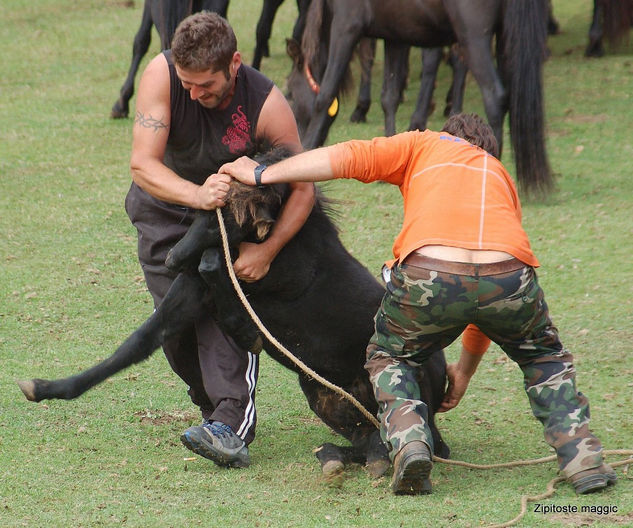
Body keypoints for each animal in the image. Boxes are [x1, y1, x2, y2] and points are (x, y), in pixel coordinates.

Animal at [16, 151, 450, 476]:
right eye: (197, 213)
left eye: (219, 223)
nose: (172, 260)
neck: (284, 247)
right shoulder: (190, 294)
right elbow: (137, 344)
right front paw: (44, 388)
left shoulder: (249, 292)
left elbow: (215, 270)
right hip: (323, 396)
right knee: (368, 440)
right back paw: (335, 457)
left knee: (414, 437)